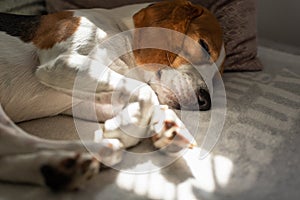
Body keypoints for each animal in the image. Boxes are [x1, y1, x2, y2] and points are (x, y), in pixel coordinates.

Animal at [0, 0, 224, 191]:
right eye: (204, 46)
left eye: (218, 74)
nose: (205, 102)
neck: (119, 31)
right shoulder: (62, 64)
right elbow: (146, 91)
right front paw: (128, 126)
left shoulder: (82, 100)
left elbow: (145, 97)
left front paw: (165, 125)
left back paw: (74, 163)